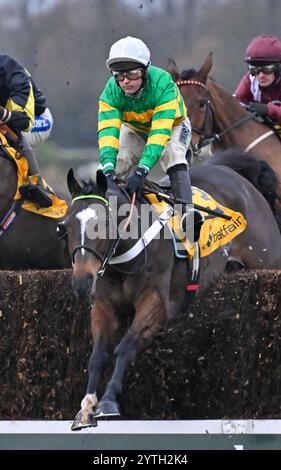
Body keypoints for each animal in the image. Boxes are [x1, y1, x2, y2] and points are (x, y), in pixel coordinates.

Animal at [63, 162, 280, 430]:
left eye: (103, 224)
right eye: (65, 227)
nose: (81, 282)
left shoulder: (156, 304)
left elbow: (126, 346)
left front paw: (108, 402)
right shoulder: (103, 306)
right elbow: (97, 355)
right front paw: (86, 408)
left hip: (267, 260)